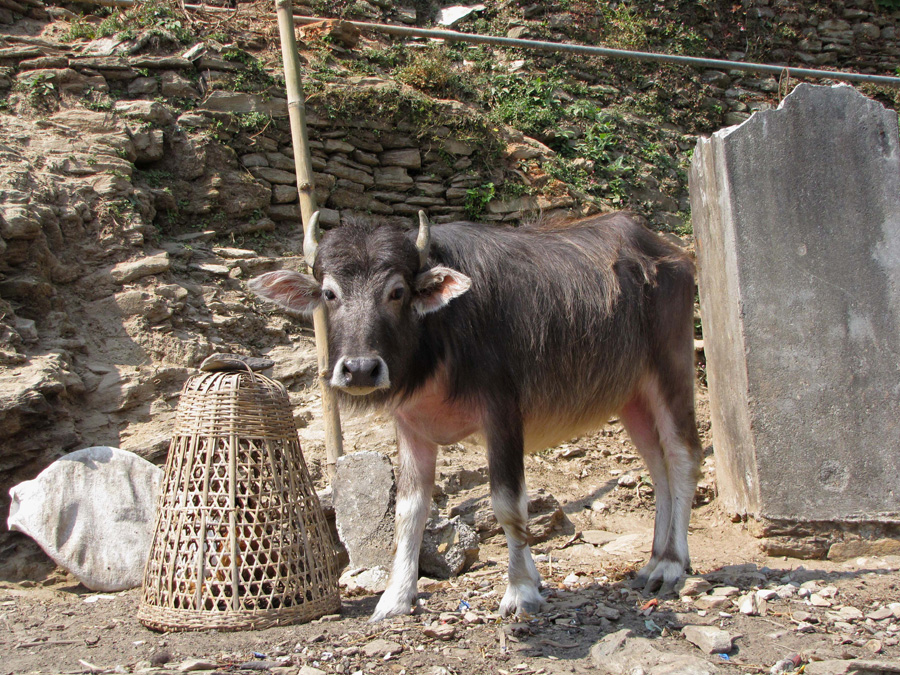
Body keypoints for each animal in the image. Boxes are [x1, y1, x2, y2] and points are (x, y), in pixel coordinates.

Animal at [251, 213, 704, 624]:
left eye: (397, 292)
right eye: (330, 293)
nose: (360, 370)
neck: (440, 338)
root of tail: (670, 253)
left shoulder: (503, 415)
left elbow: (508, 503)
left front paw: (520, 592)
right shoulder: (410, 426)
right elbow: (409, 511)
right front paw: (396, 598)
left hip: (671, 369)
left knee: (683, 457)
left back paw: (672, 565)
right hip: (632, 397)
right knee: (658, 466)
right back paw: (653, 560)